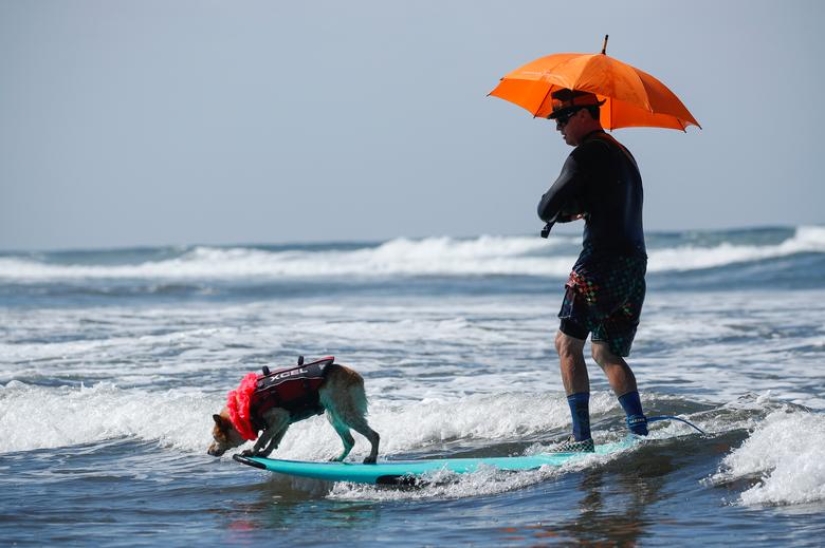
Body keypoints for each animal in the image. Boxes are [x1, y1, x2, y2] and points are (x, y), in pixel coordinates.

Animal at [209, 358, 384, 464]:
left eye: (215, 437)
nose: (208, 451)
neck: (243, 409)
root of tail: (356, 376)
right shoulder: (285, 421)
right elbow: (274, 439)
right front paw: (265, 453)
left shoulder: (279, 417)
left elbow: (264, 437)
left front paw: (252, 451)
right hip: (333, 416)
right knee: (350, 441)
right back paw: (338, 458)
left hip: (345, 412)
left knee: (374, 435)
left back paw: (371, 457)